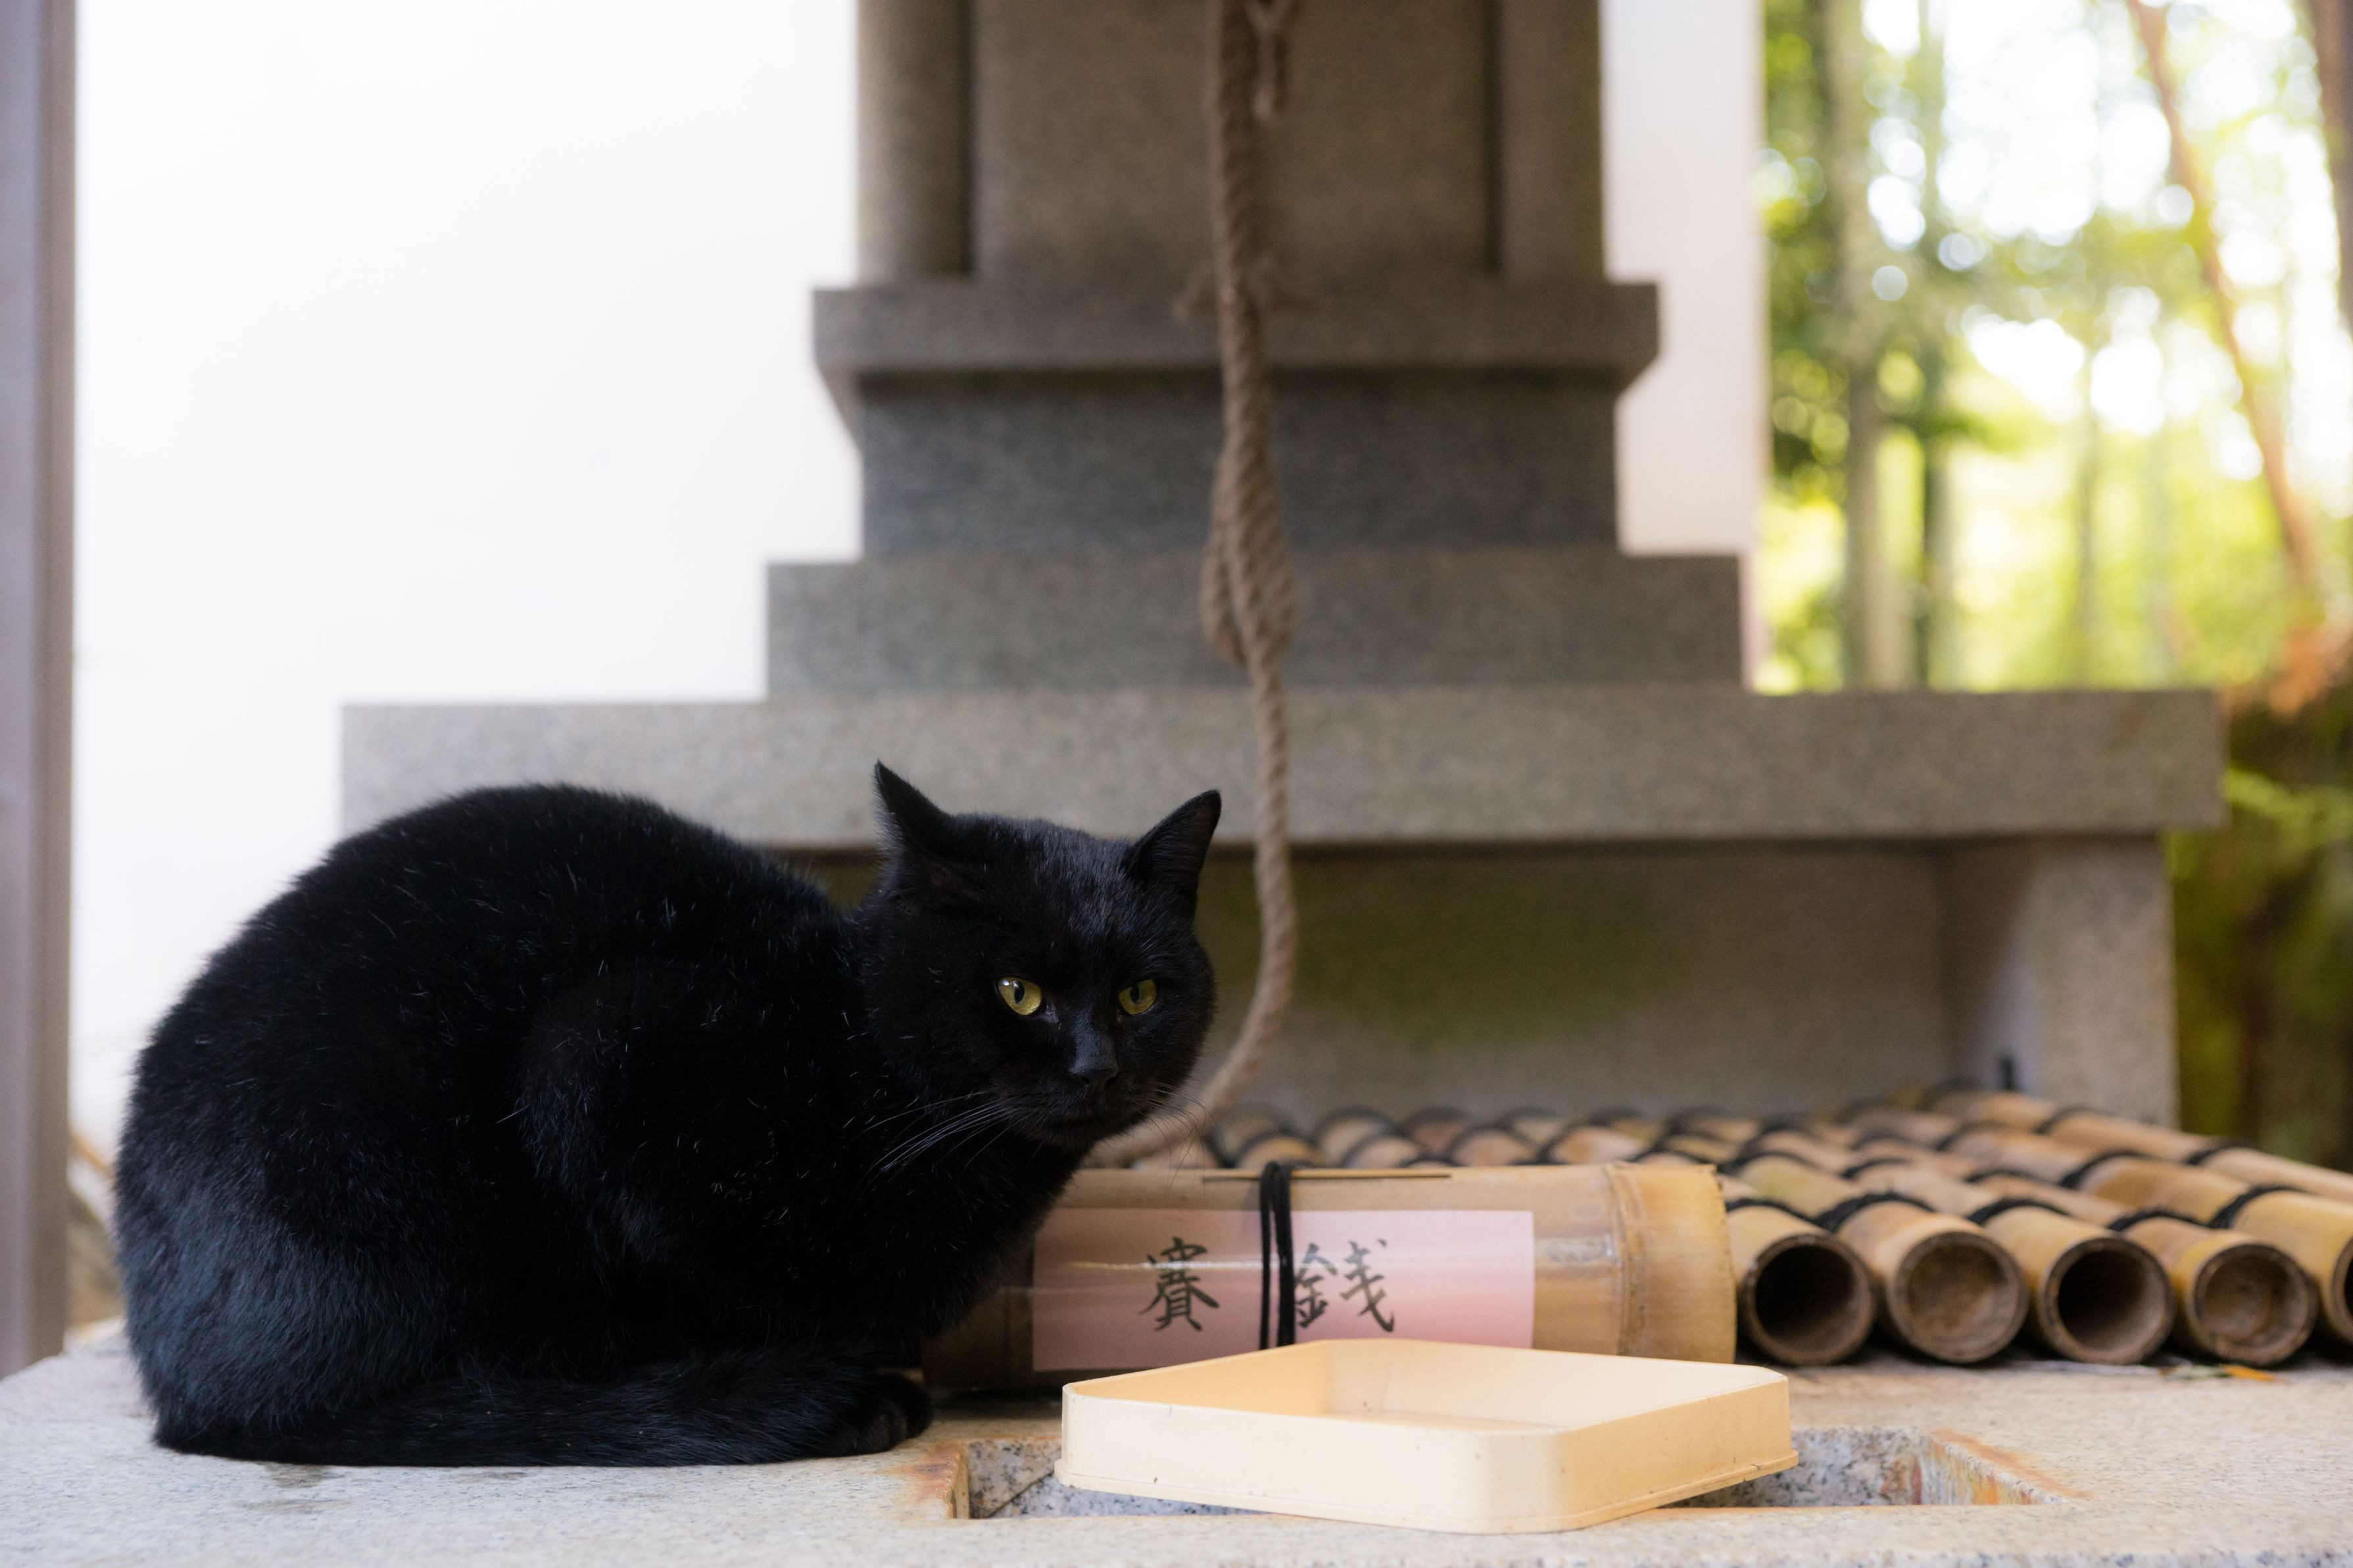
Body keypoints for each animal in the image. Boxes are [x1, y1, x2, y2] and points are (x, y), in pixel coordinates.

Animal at [113, 766, 1220, 1466]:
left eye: (1138, 995)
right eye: (1018, 993)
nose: (1096, 1064)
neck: (852, 1060)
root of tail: (180, 1390)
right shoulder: (604, 1054)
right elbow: (724, 1293)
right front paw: (835, 1392)